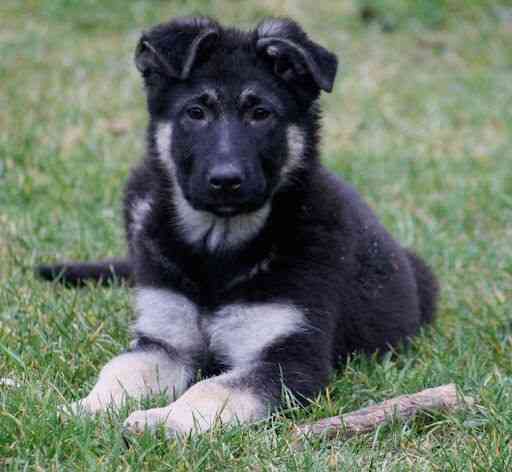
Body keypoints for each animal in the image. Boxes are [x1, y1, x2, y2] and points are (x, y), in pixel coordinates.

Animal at [41, 16, 440, 436]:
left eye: (261, 114)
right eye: (195, 112)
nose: (226, 180)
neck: (217, 249)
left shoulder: (289, 359)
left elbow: (213, 388)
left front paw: (163, 420)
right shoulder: (164, 343)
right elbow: (122, 370)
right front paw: (84, 409)